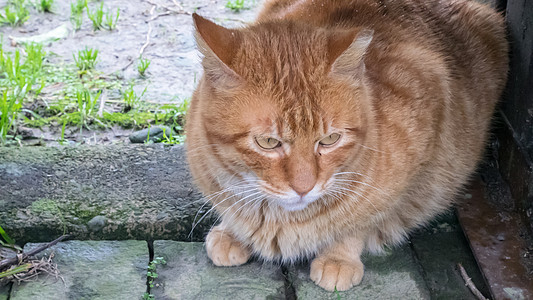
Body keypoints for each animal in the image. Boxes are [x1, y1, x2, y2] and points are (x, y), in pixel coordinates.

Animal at [186, 0, 508, 290]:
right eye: (268, 142)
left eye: (330, 139)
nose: (304, 188)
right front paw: (233, 231)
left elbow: (361, 219)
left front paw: (339, 257)